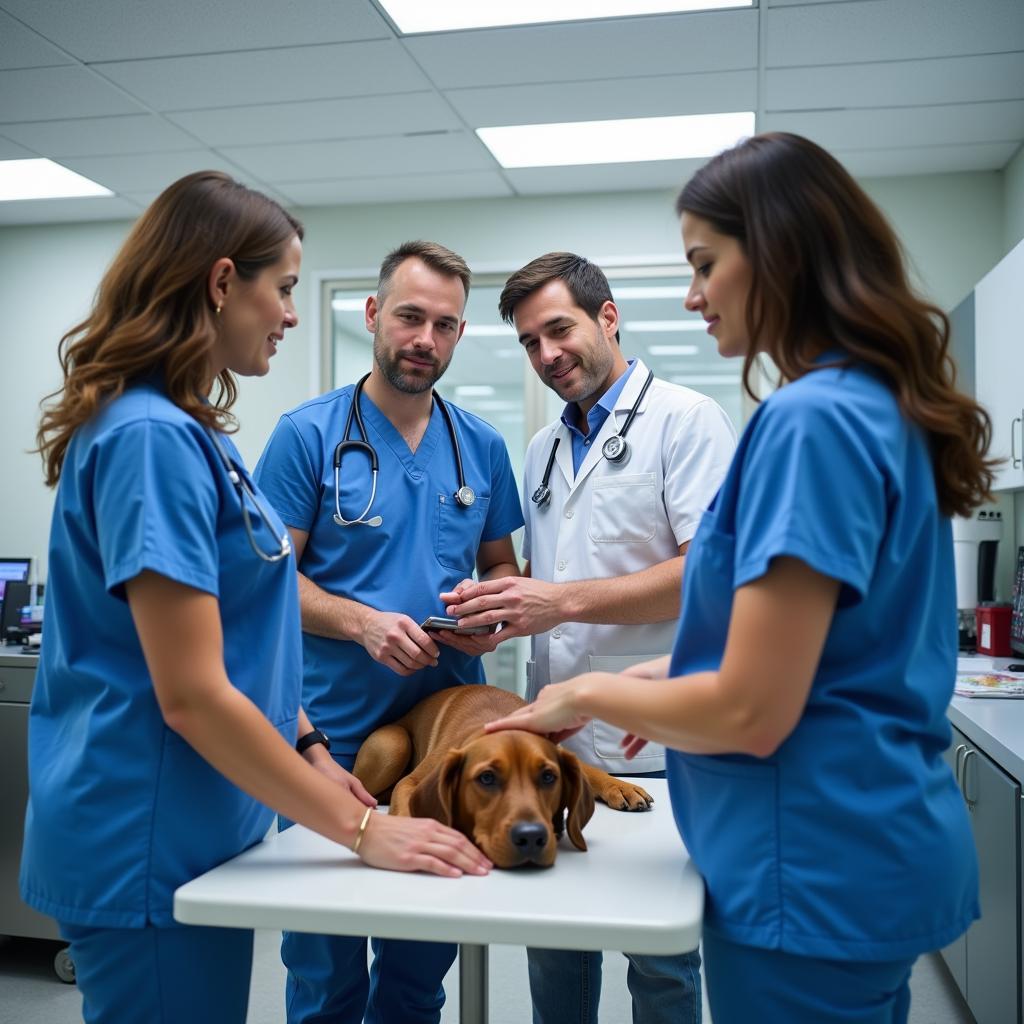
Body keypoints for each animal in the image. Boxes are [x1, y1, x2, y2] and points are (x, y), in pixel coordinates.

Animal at [352, 684, 651, 868]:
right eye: (487, 779)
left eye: (547, 779)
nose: (531, 836)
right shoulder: (412, 783)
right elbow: (406, 809)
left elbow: (589, 769)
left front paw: (620, 786)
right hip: (395, 742)